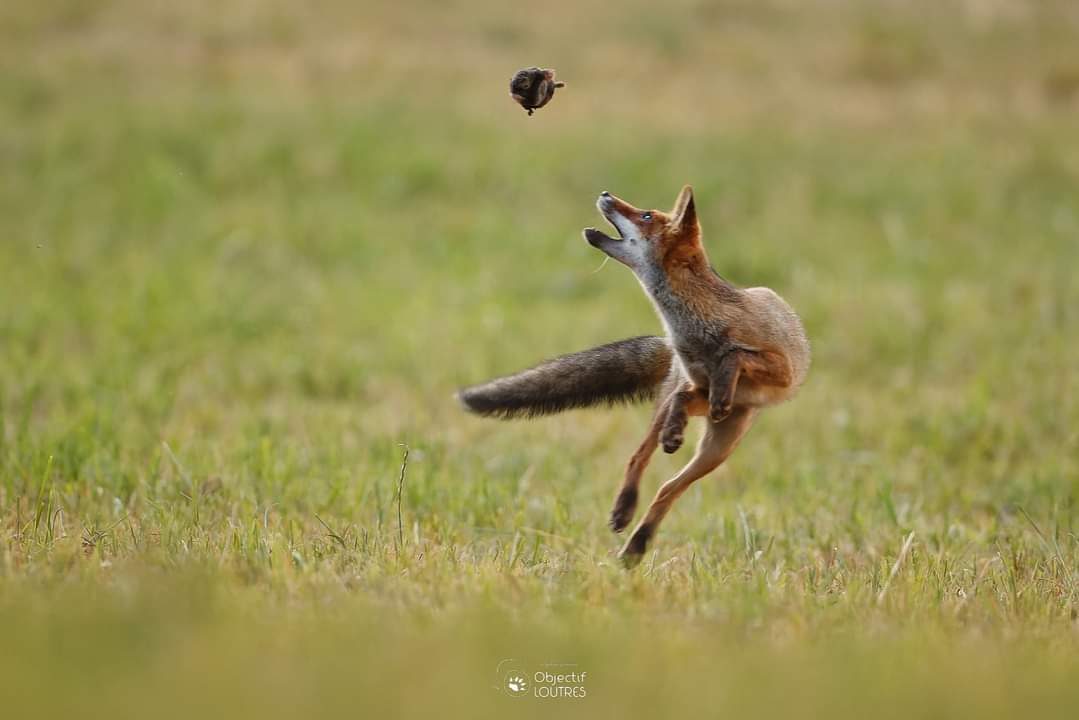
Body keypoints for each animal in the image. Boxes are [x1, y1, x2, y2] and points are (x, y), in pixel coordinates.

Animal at [458, 186, 810, 567]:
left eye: (646, 216)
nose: (606, 193)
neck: (693, 331)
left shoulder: (781, 369)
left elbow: (735, 354)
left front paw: (721, 383)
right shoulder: (696, 385)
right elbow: (695, 390)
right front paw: (676, 431)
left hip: (720, 445)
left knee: (668, 489)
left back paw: (637, 543)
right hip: (690, 422)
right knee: (642, 456)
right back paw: (628, 513)